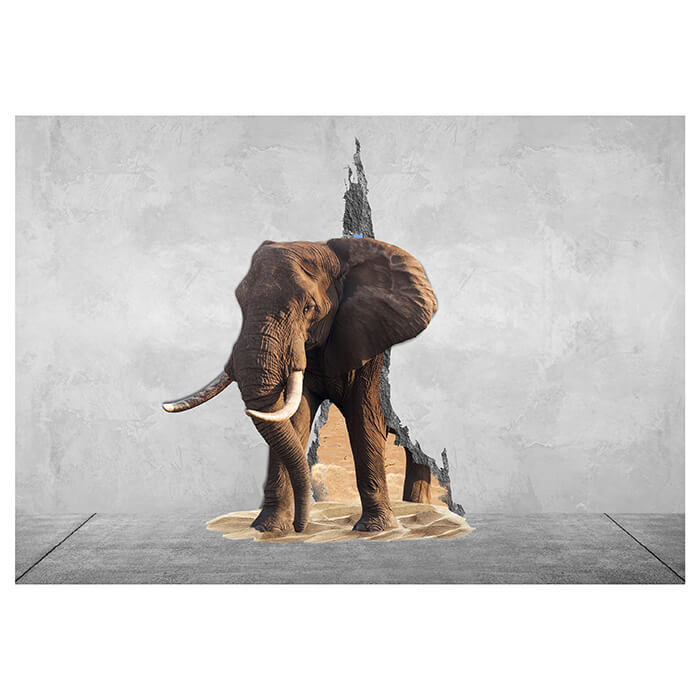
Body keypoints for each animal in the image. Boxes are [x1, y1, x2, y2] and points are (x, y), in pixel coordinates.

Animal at [162, 237, 437, 534]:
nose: (300, 526)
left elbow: (365, 418)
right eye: (240, 301)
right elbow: (293, 419)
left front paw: (375, 529)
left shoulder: (369, 342)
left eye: (308, 308)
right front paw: (269, 528)